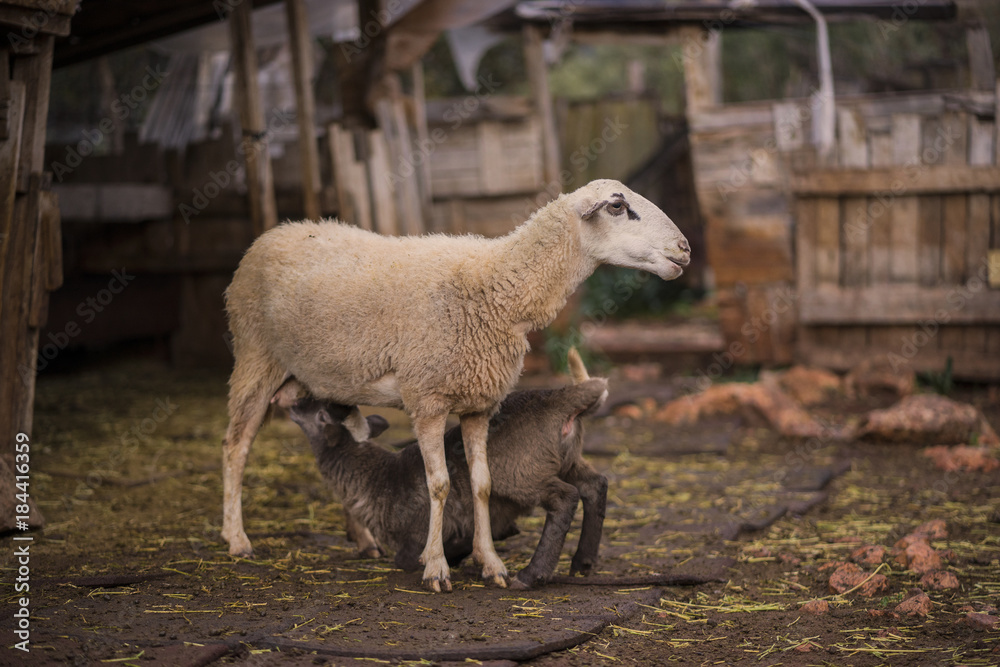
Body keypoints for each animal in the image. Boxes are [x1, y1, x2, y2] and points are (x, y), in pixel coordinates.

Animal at [273, 349, 609, 589]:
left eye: (311, 405)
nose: (281, 398)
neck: (377, 476)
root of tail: (560, 400)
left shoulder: (410, 539)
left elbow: (411, 557)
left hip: (522, 472)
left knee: (565, 498)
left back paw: (531, 575)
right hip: (568, 460)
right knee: (595, 484)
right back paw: (583, 563)